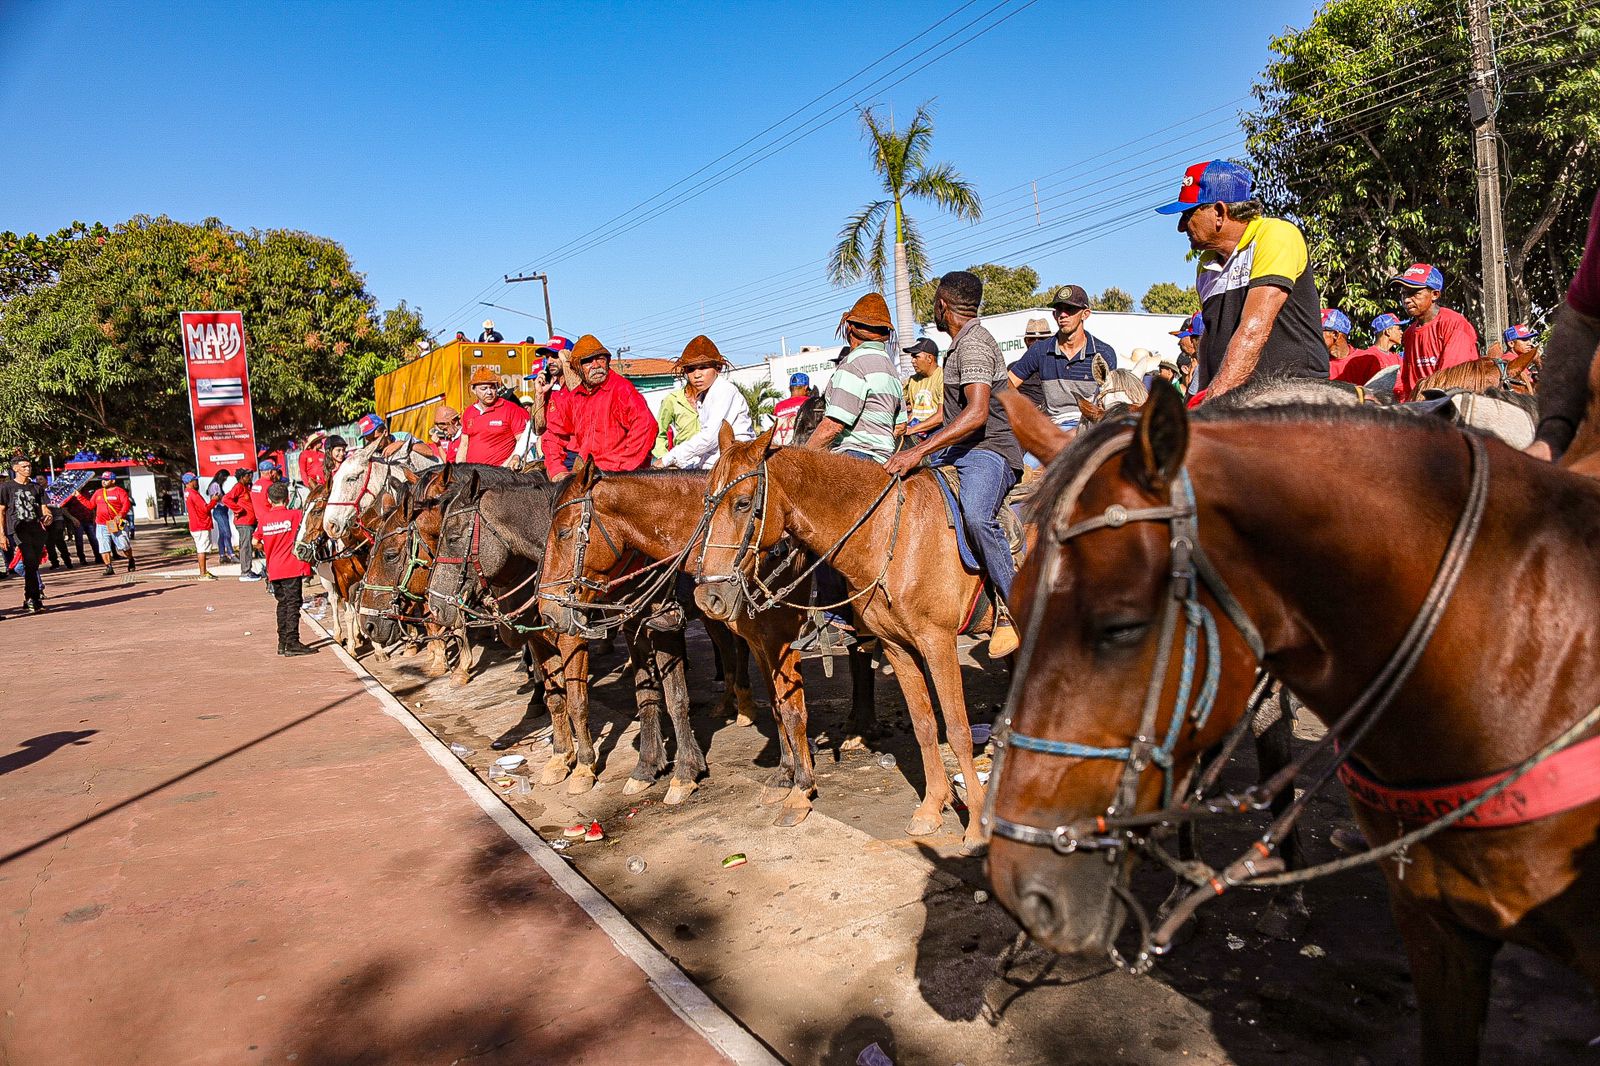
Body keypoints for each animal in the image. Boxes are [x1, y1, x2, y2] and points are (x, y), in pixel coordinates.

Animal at [697, 422, 992, 845]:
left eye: (742, 503)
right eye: (707, 500)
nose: (709, 596)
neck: (888, 535)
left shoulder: (938, 642)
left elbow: (957, 729)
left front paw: (978, 824)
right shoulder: (897, 647)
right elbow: (924, 725)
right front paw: (932, 809)